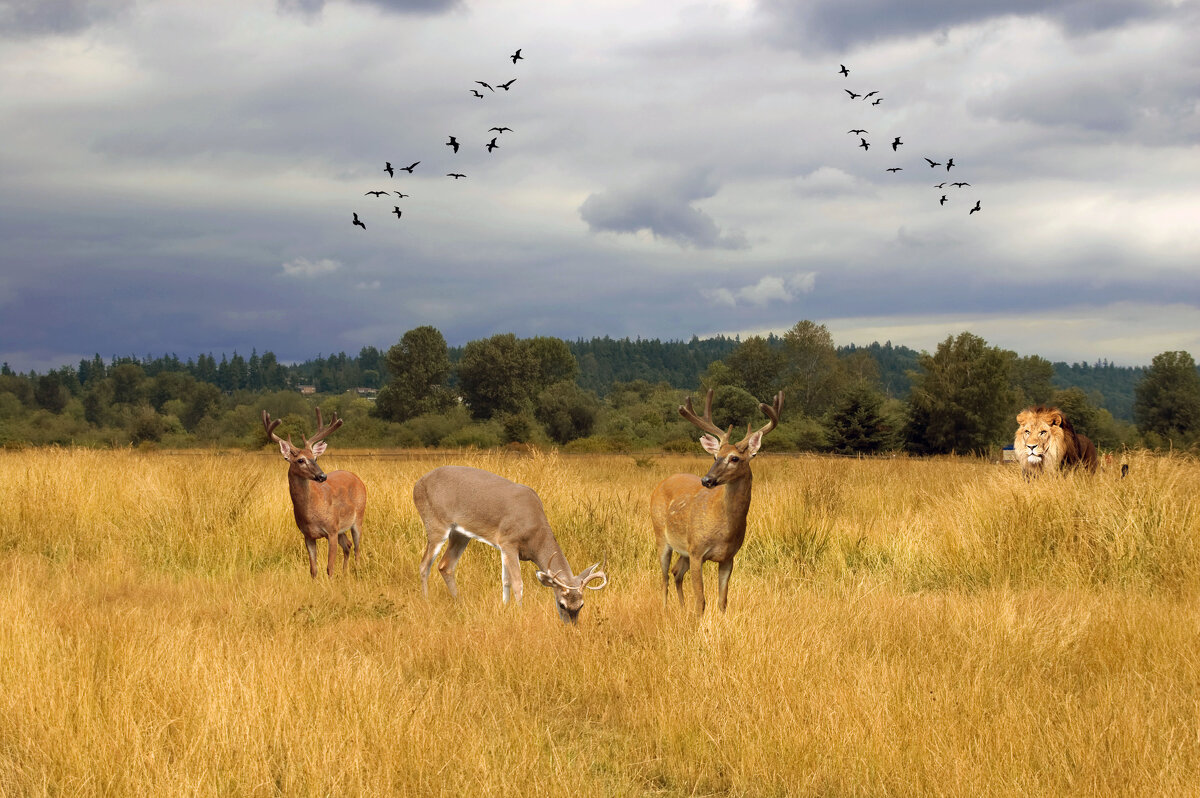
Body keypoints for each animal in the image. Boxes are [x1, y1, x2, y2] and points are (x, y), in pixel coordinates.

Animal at [265, 408, 367, 576]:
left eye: (315, 458)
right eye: (300, 460)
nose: (322, 476)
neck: (311, 513)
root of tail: (357, 478)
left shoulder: (332, 531)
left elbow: (329, 568)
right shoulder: (308, 535)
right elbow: (313, 569)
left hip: (358, 517)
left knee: (357, 548)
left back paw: (357, 571)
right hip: (342, 528)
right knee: (348, 545)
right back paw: (345, 573)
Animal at [415, 463, 609, 624]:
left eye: (581, 605)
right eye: (561, 604)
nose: (571, 626)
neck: (535, 534)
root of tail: (417, 484)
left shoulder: (504, 548)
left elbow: (505, 580)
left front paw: (505, 608)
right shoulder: (509, 542)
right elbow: (517, 583)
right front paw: (520, 613)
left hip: (460, 534)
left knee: (445, 565)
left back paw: (459, 602)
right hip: (436, 525)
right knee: (425, 565)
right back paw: (426, 601)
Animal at [652, 388, 782, 612]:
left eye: (734, 458)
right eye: (715, 457)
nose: (707, 480)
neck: (724, 527)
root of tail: (661, 483)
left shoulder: (728, 557)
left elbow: (722, 600)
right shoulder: (697, 552)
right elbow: (701, 600)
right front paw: (697, 620)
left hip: (683, 549)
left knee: (676, 572)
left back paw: (682, 608)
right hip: (661, 535)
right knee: (663, 577)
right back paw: (665, 609)